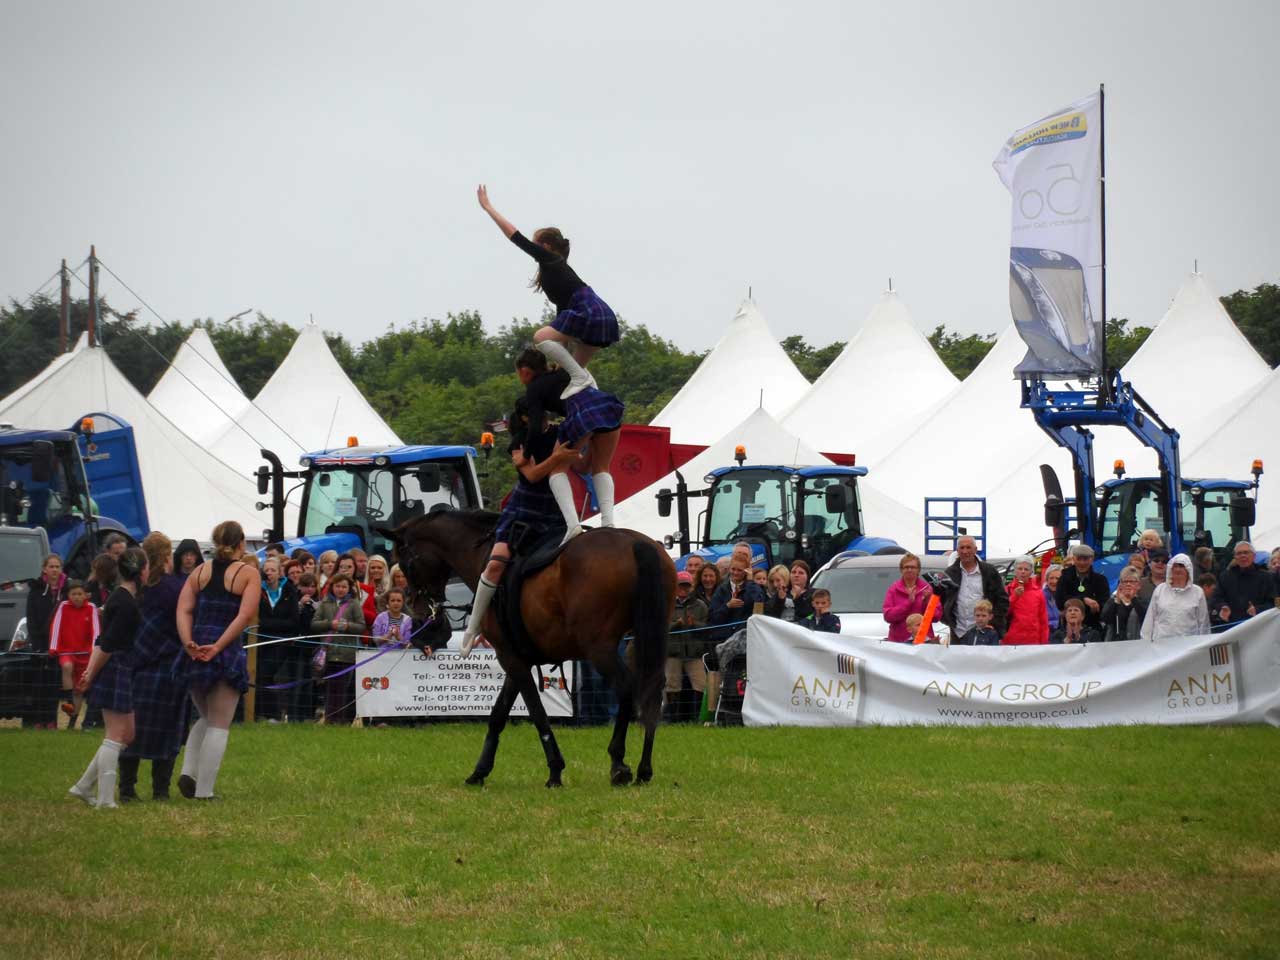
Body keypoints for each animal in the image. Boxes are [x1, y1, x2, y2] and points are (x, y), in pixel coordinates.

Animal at [381, 512, 675, 788]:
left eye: (404, 560)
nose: (413, 604)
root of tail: (635, 542)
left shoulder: (510, 658)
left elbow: (536, 712)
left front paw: (555, 770)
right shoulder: (516, 658)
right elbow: (498, 715)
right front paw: (480, 771)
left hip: (599, 649)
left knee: (627, 686)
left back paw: (618, 762)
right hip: (647, 638)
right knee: (652, 689)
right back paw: (644, 769)